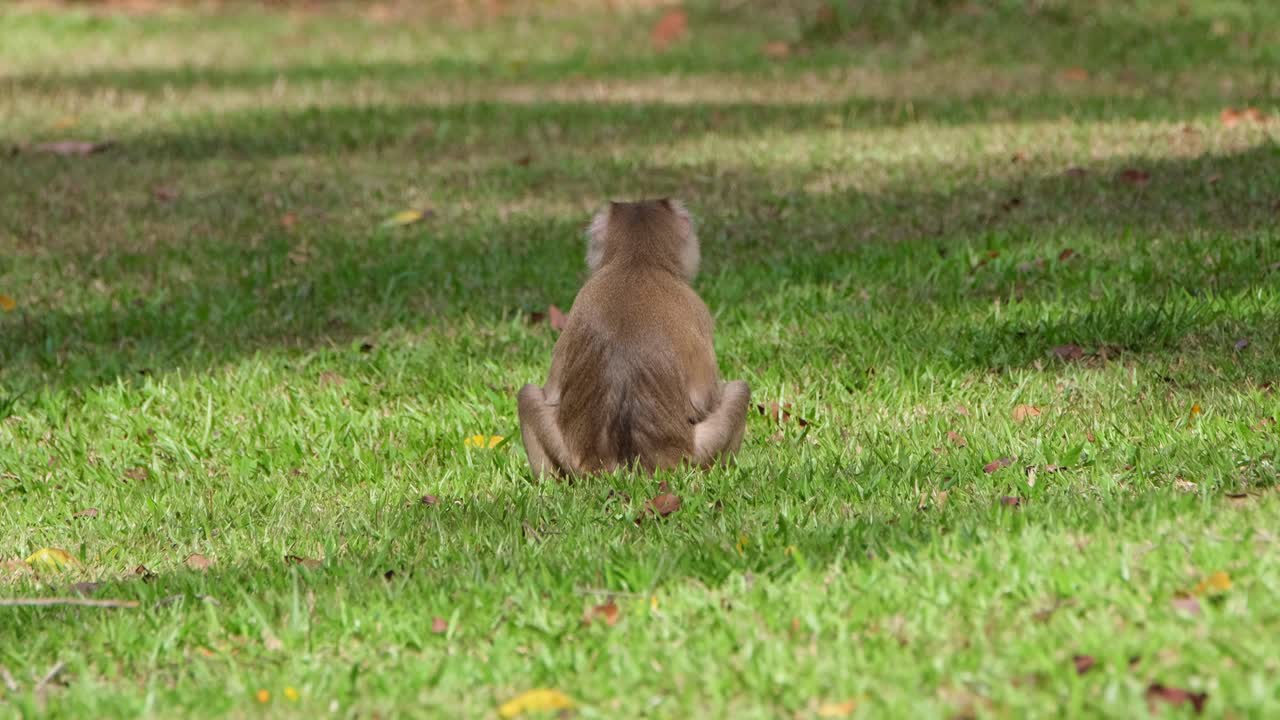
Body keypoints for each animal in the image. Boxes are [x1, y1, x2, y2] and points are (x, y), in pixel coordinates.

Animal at [514, 197, 747, 476]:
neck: (637, 262)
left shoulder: (579, 301)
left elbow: (551, 395)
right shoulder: (698, 308)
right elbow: (707, 400)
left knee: (527, 396)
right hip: (693, 456)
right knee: (740, 391)